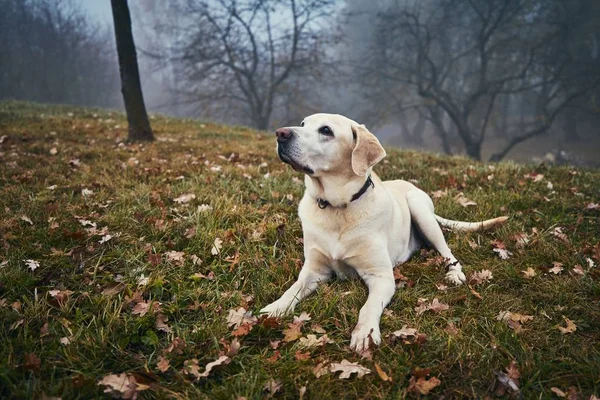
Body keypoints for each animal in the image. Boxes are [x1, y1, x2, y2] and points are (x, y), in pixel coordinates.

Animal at [260, 114, 508, 352]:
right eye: (303, 123)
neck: (337, 208)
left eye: (326, 130)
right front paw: (274, 309)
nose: (281, 133)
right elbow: (293, 289)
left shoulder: (381, 277)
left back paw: (454, 273)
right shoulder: (314, 270)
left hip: (420, 208)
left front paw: (365, 333)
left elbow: (368, 307)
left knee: (447, 251)